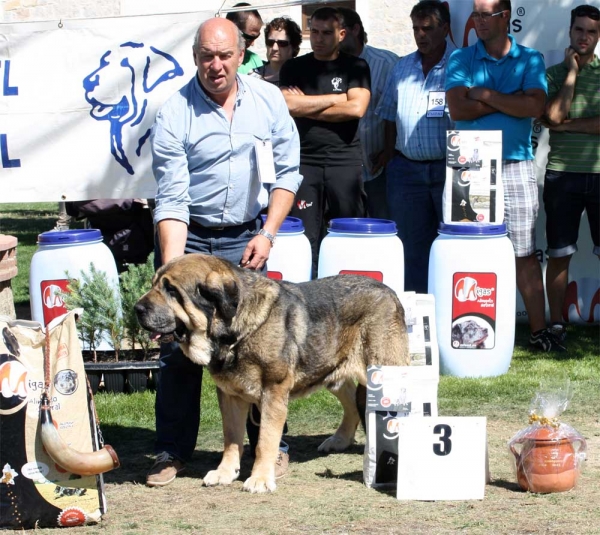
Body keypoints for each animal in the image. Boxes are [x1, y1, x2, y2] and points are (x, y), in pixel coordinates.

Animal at [135, 255, 408, 494]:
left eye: (171, 290)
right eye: (154, 284)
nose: (137, 308)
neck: (235, 331)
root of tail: (390, 291)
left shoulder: (273, 392)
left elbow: (265, 440)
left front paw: (260, 479)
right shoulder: (230, 396)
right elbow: (231, 438)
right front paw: (225, 472)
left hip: (384, 372)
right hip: (330, 368)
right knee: (351, 402)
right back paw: (339, 440)